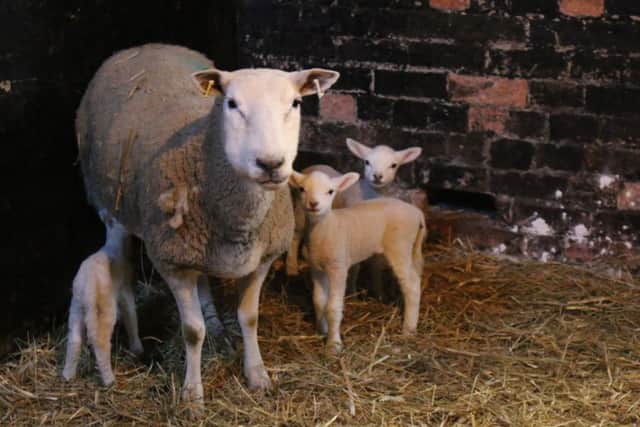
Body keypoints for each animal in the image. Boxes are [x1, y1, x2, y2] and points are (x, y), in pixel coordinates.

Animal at [62, 212, 143, 386]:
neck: (115, 244)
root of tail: (86, 286)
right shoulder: (125, 289)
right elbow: (131, 315)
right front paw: (137, 348)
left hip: (76, 307)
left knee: (74, 341)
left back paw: (67, 375)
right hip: (103, 307)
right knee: (100, 342)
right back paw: (109, 379)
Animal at [75, 43, 339, 406]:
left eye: (296, 103)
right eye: (231, 104)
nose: (270, 164)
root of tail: (143, 46)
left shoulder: (261, 259)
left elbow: (249, 318)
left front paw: (257, 375)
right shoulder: (171, 262)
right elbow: (191, 331)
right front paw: (192, 393)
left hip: (194, 249)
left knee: (202, 281)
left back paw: (214, 323)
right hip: (111, 209)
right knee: (123, 277)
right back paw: (137, 343)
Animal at [289, 170, 426, 354]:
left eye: (330, 191)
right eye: (302, 189)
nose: (313, 204)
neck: (327, 227)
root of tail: (417, 213)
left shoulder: (338, 267)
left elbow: (333, 307)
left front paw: (333, 345)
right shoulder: (316, 268)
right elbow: (318, 301)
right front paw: (321, 330)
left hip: (400, 246)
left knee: (412, 284)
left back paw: (409, 329)